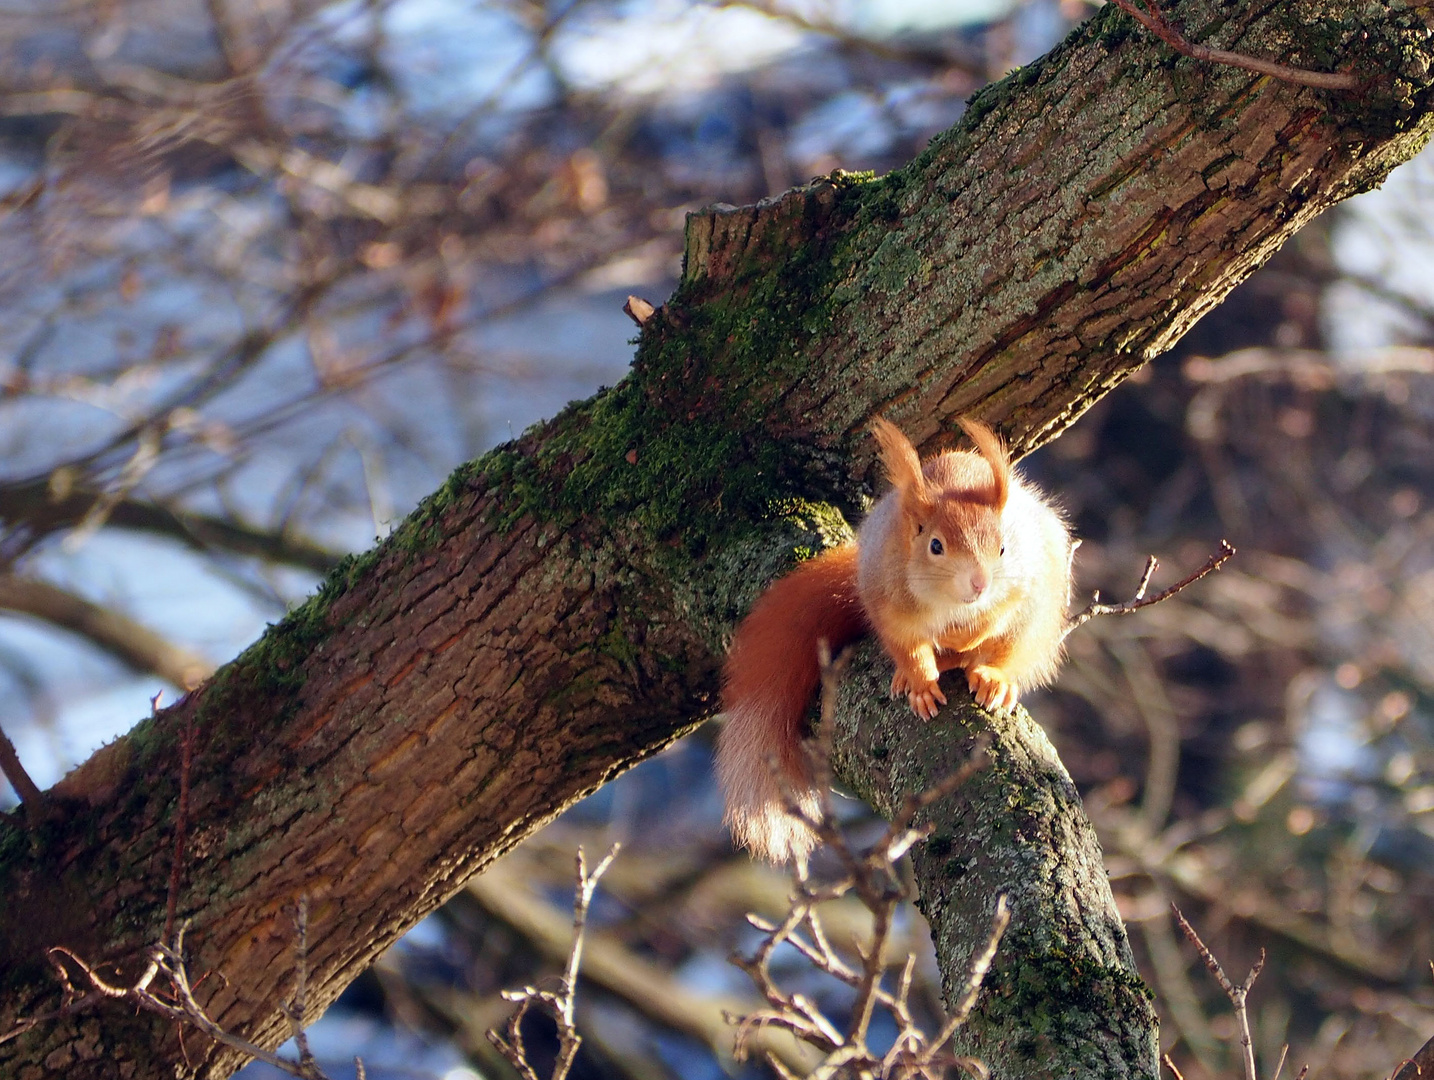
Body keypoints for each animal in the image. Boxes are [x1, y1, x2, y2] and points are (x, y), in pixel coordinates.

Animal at [711, 415, 1072, 866]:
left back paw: (991, 677)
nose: (978, 583)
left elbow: (995, 617)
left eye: (1003, 547)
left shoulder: (1019, 582)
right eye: (935, 545)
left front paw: (965, 638)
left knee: (1010, 648)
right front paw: (920, 683)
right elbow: (906, 643)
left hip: (1039, 613)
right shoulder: (890, 599)